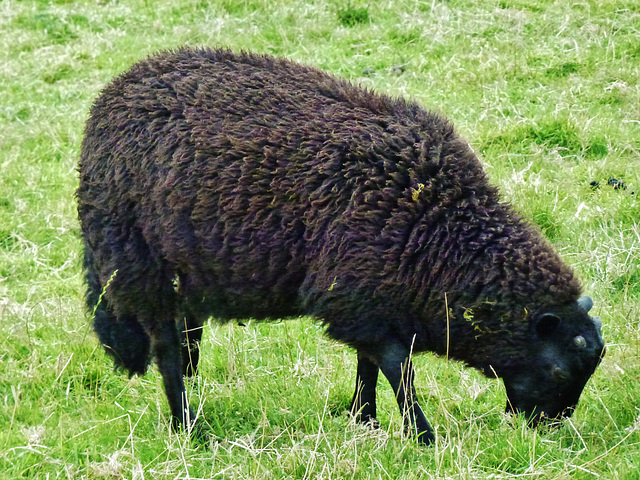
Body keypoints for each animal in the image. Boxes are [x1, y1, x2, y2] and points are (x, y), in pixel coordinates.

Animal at [76, 47, 604, 444]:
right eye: (561, 372)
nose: (548, 429)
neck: (440, 236)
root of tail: (116, 92)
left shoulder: (372, 301)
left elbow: (368, 368)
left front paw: (364, 421)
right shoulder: (358, 300)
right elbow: (398, 372)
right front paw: (422, 436)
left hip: (183, 273)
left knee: (187, 341)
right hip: (137, 266)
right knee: (166, 350)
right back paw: (188, 427)